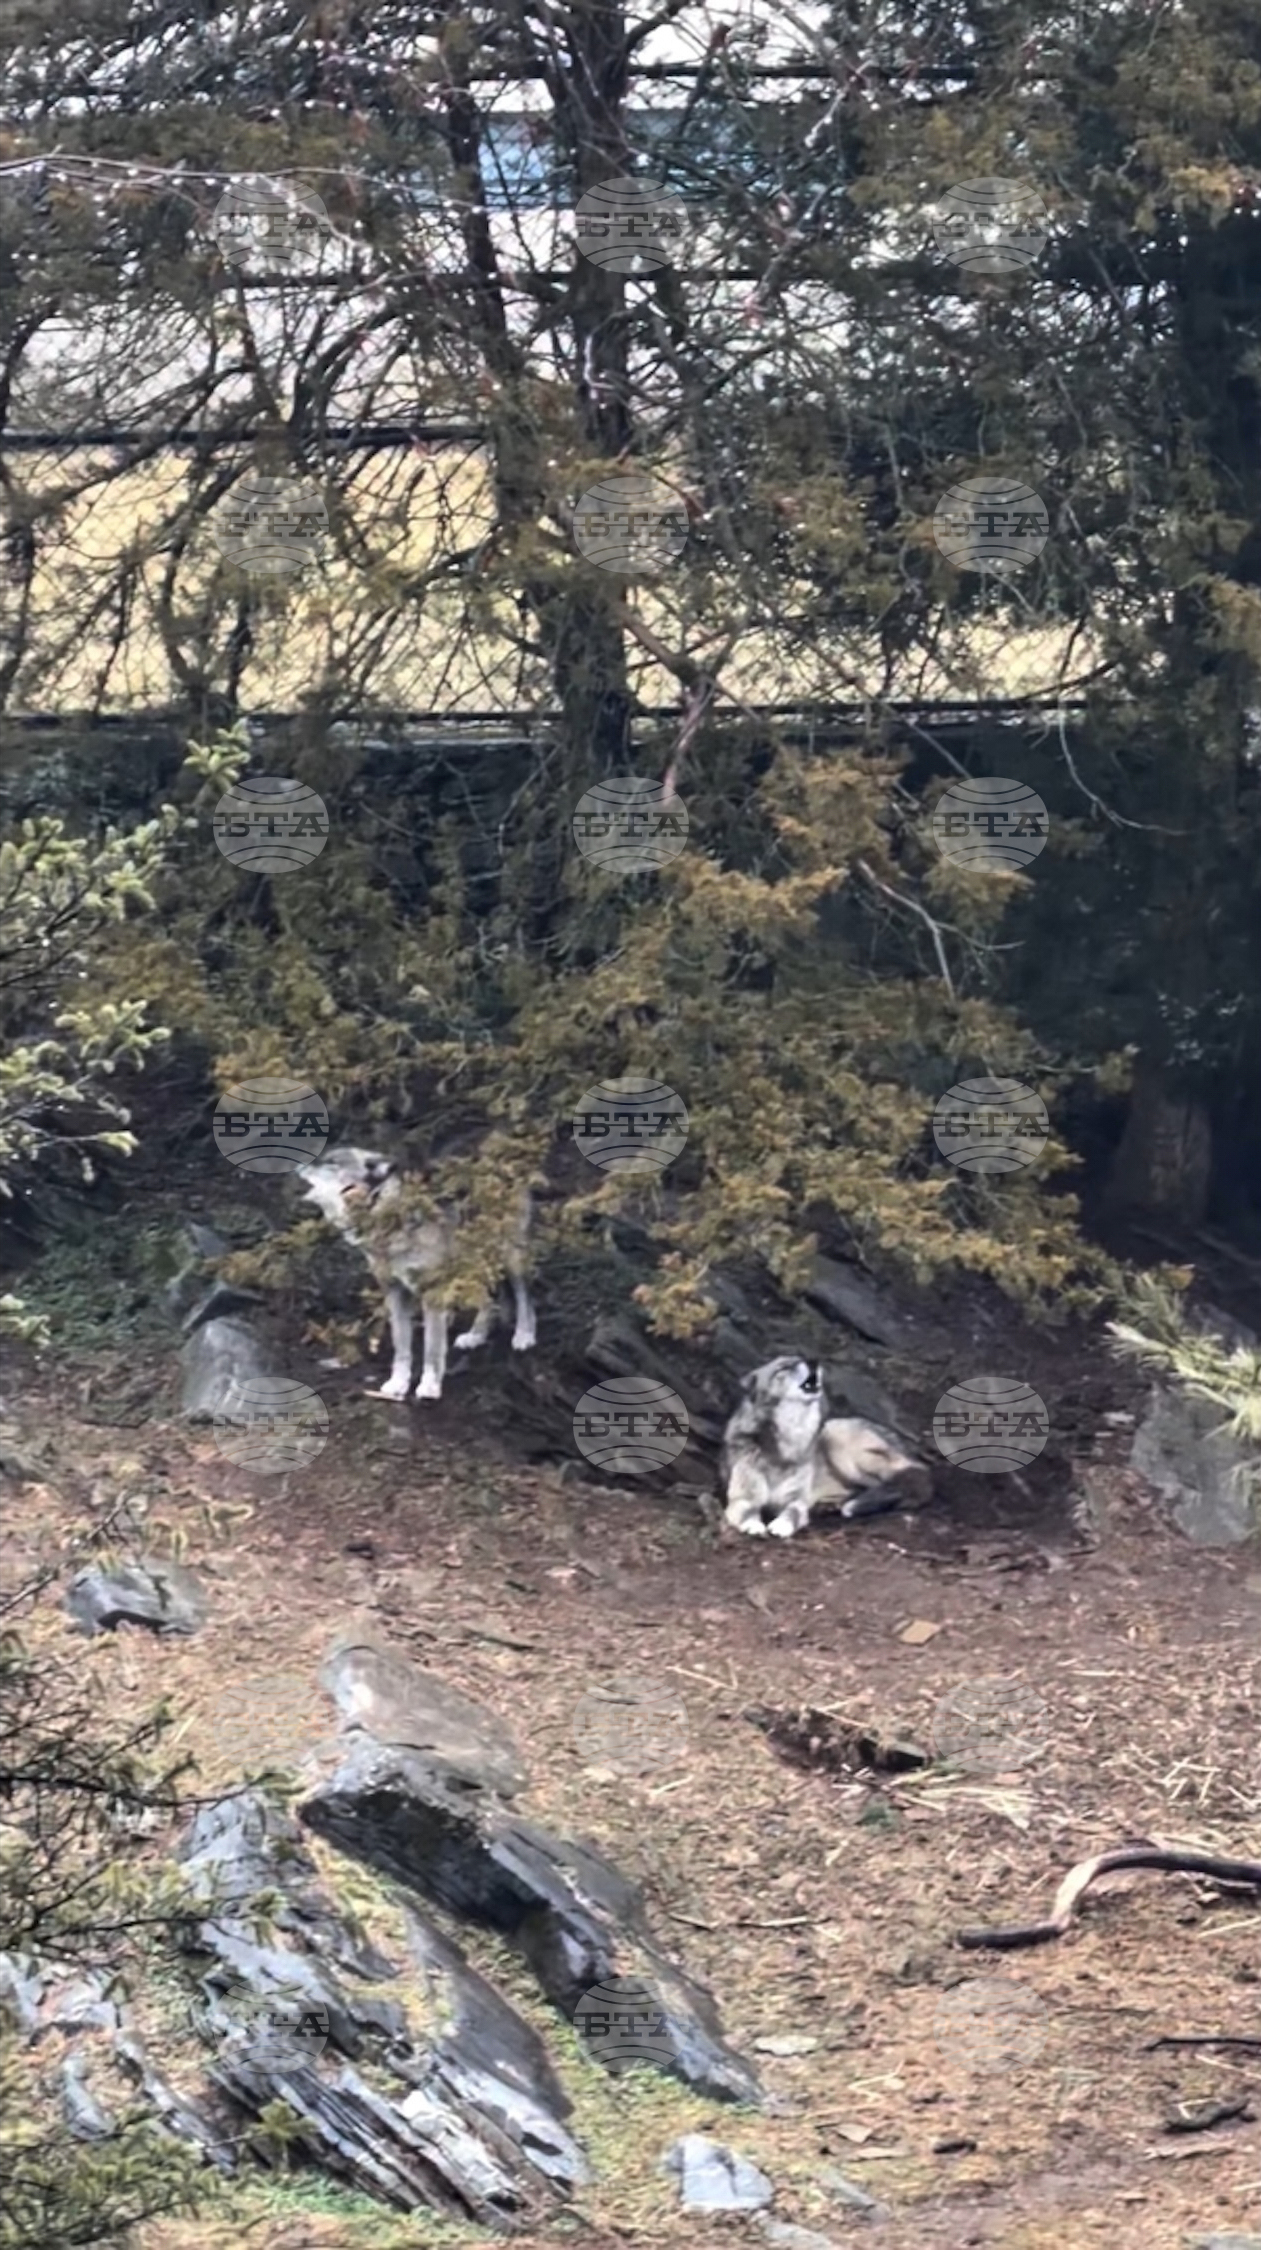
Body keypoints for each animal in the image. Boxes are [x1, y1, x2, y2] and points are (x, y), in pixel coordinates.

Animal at [296, 1146, 535, 1402]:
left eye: (331, 1163)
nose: (297, 1166)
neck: (385, 1213)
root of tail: (501, 1159)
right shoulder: (394, 1293)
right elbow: (401, 1347)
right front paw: (398, 1384)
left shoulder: (433, 1292)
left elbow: (432, 1347)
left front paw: (429, 1386)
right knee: (489, 1300)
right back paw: (476, 1335)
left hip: (511, 1257)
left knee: (525, 1297)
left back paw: (524, 1335)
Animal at [719, 1356, 930, 1538]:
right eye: (783, 1368)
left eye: (800, 1359)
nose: (813, 1361)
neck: (788, 1442)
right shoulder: (743, 1498)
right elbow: (748, 1511)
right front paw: (753, 1525)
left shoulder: (796, 1500)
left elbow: (792, 1512)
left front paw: (782, 1525)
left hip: (836, 1440)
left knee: (899, 1481)